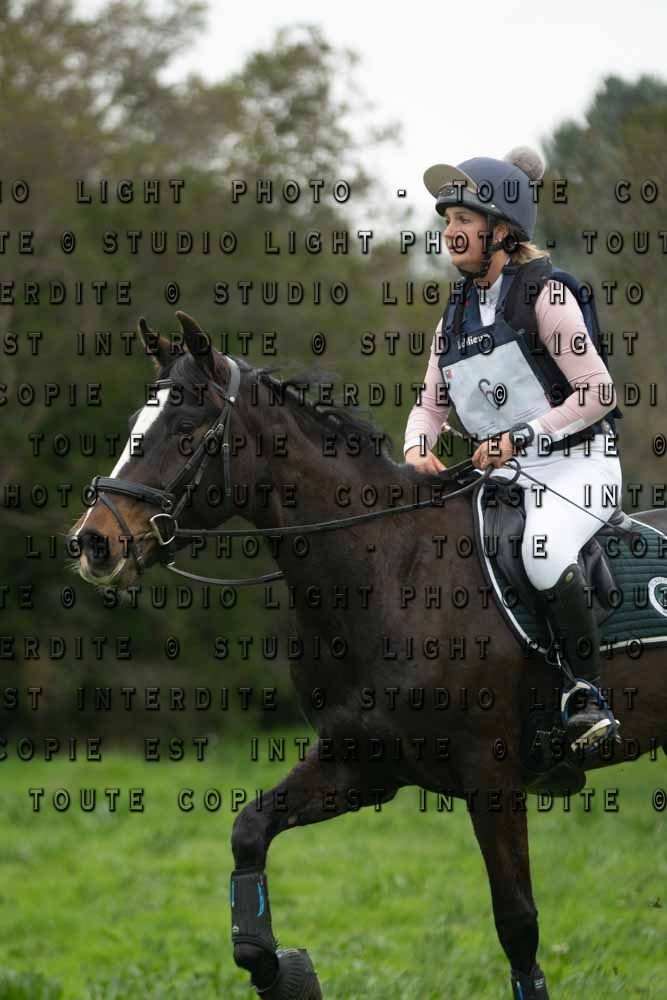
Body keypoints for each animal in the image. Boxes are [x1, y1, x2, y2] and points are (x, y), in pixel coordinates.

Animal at [69, 311, 667, 1000]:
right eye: (136, 425)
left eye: (188, 430)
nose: (93, 543)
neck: (388, 573)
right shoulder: (360, 764)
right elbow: (249, 833)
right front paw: (279, 968)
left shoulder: (491, 776)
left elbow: (517, 923)